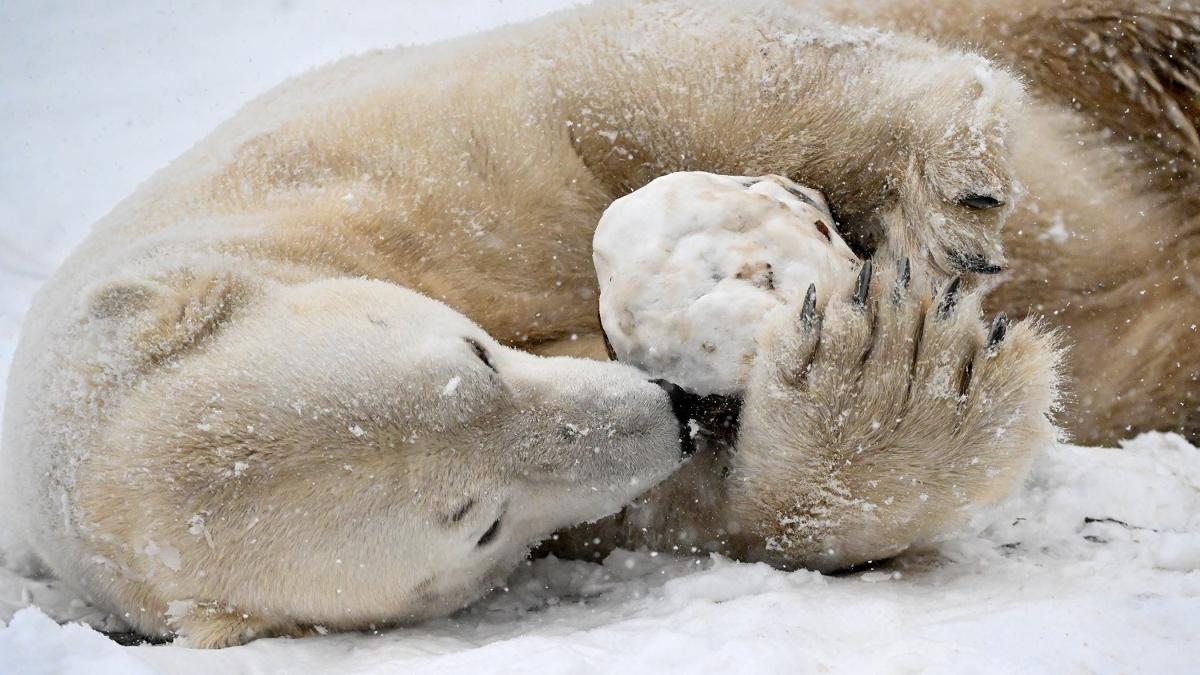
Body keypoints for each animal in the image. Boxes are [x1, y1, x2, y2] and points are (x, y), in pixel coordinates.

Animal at [0, 0, 1192, 648]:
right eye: (478, 521)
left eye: (471, 353)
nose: (676, 405)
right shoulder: (577, 511)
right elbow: (715, 513)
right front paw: (896, 378)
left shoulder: (354, 163)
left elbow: (614, 81)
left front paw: (946, 194)